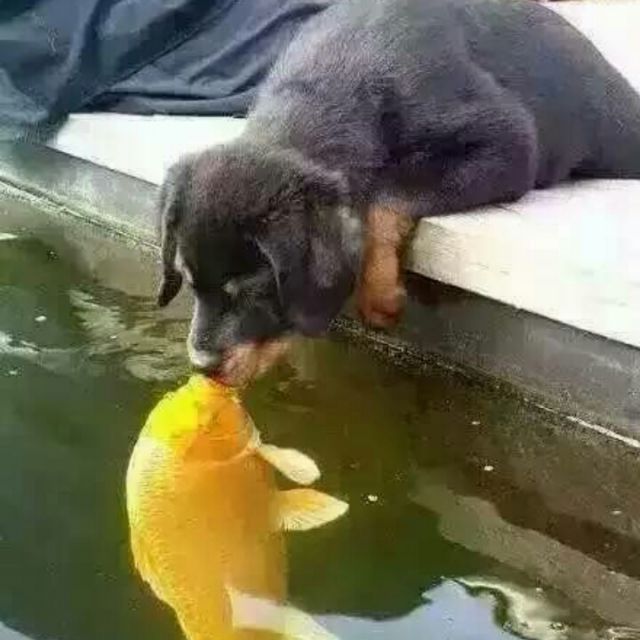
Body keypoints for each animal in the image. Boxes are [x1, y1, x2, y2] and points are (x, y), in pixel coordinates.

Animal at [157, 0, 640, 385]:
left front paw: (379, 296)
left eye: (253, 291)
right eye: (187, 279)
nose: (201, 365)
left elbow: (385, 196)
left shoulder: (509, 143)